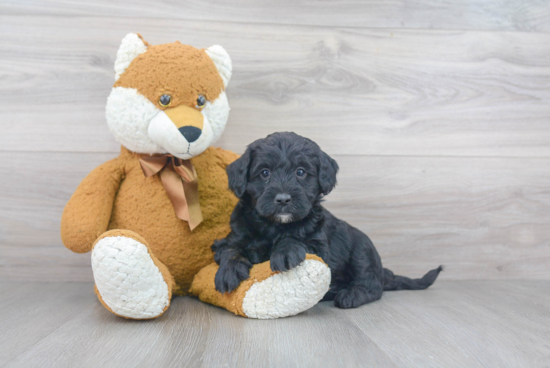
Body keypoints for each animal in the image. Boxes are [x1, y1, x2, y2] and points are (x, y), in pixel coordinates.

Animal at [213, 132, 442, 308]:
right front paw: (228, 271)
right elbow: (231, 250)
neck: (274, 225)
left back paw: (350, 295)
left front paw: (285, 251)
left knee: (372, 284)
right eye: (264, 172)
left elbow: (296, 239)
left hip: (362, 249)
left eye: (300, 172)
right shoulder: (233, 237)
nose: (283, 199)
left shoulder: (319, 246)